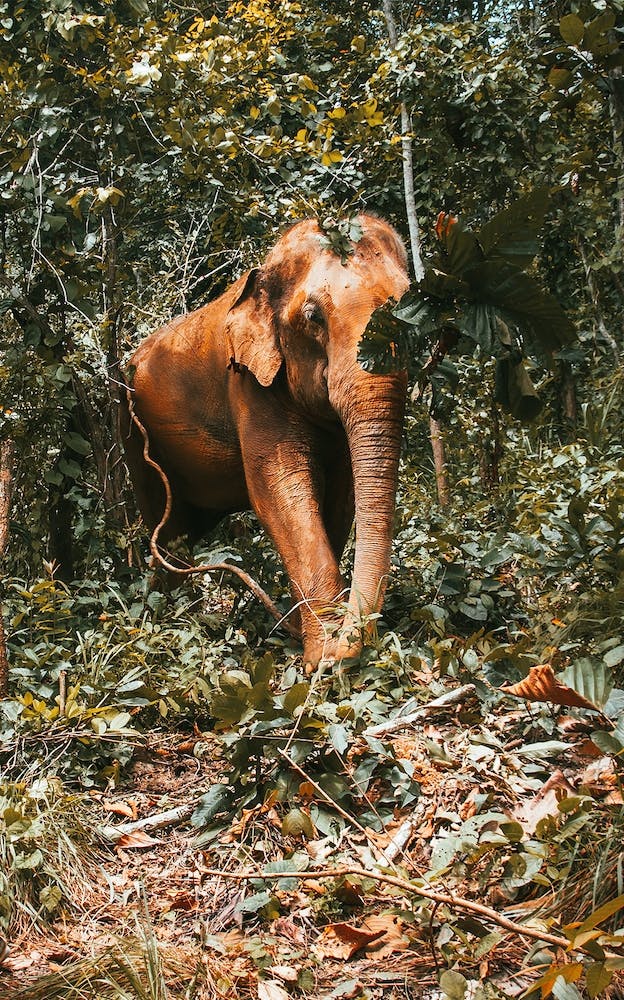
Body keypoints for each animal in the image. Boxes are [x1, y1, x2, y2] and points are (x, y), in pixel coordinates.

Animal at [121, 213, 410, 666]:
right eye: (313, 317)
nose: (347, 650)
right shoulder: (249, 383)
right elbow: (278, 487)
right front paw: (323, 657)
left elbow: (341, 495)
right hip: (132, 431)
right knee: (167, 529)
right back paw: (172, 618)